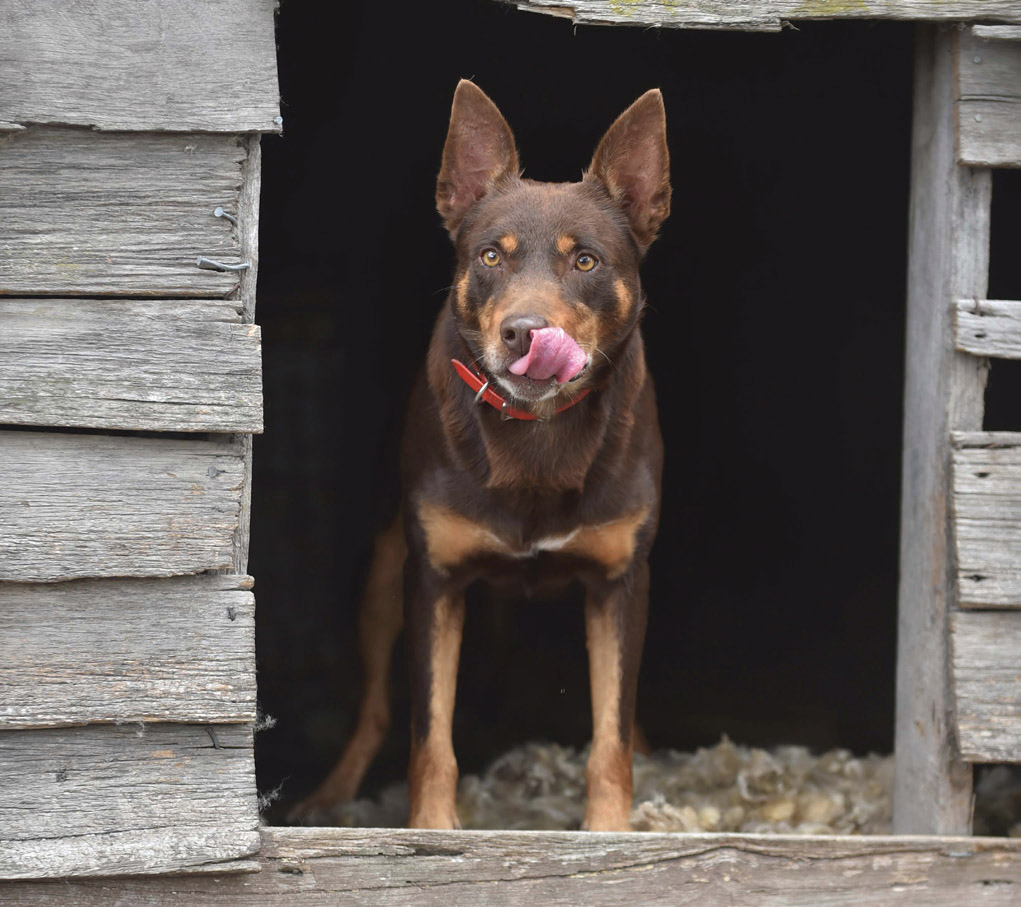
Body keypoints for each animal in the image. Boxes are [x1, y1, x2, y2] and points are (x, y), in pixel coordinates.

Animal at [289, 81, 669, 833]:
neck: (537, 435)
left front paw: (609, 833)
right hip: (384, 575)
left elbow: (611, 732)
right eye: (491, 256)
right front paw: (432, 829)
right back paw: (330, 797)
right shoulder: (432, 579)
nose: (525, 332)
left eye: (585, 261)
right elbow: (429, 734)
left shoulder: (620, 583)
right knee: (376, 711)